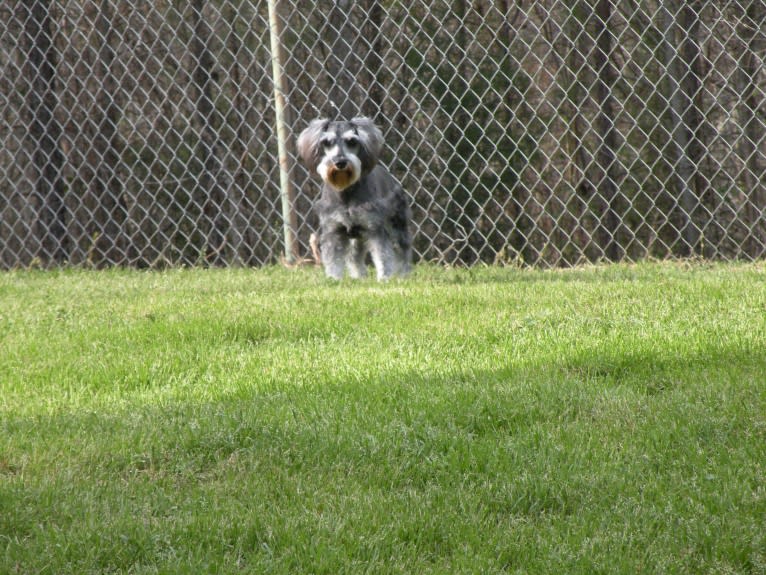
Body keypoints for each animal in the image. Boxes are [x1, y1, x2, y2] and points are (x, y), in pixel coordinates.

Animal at [296, 116, 414, 280]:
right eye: (327, 142)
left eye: (352, 141)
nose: (340, 162)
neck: (345, 191)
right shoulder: (333, 231)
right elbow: (333, 259)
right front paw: (334, 279)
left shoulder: (374, 228)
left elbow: (383, 256)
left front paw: (384, 279)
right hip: (357, 237)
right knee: (354, 256)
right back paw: (359, 277)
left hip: (397, 226)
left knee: (403, 251)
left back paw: (403, 275)